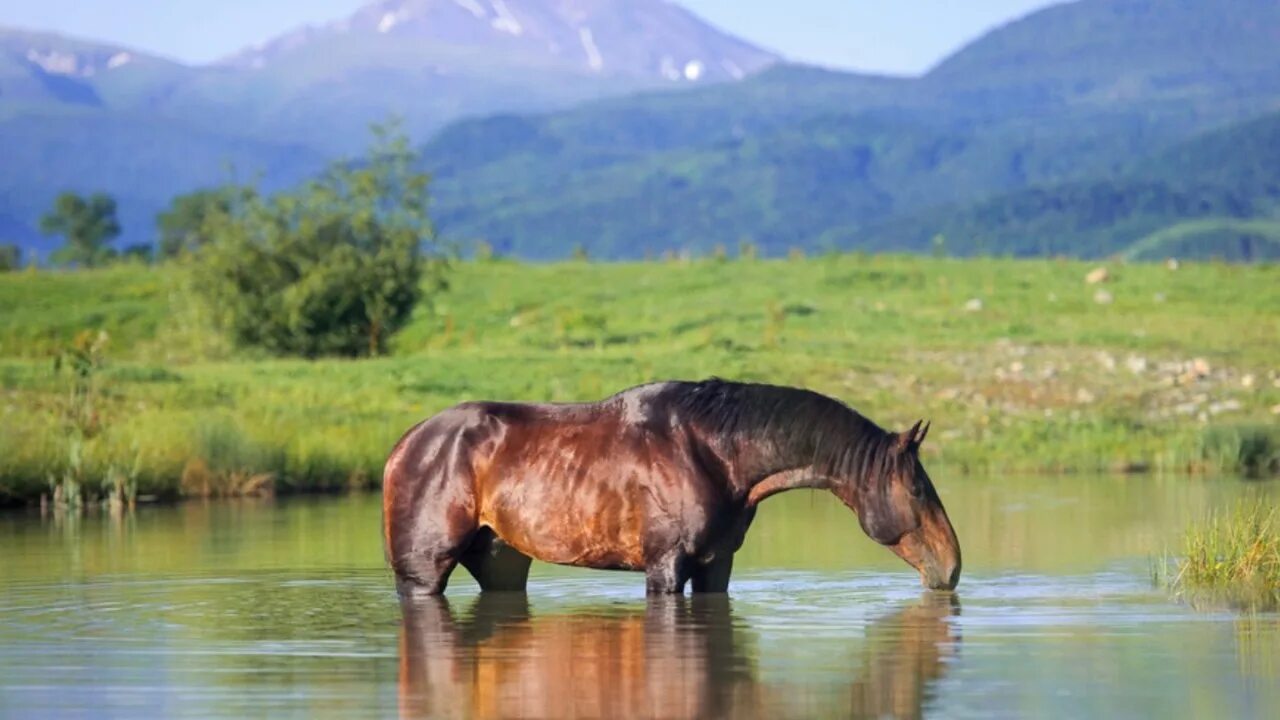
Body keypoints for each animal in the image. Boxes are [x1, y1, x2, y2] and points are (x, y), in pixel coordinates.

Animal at [378, 376, 962, 594]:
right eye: (917, 490)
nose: (952, 568)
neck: (714, 453)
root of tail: (403, 446)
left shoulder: (715, 565)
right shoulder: (665, 566)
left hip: (501, 563)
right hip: (422, 574)